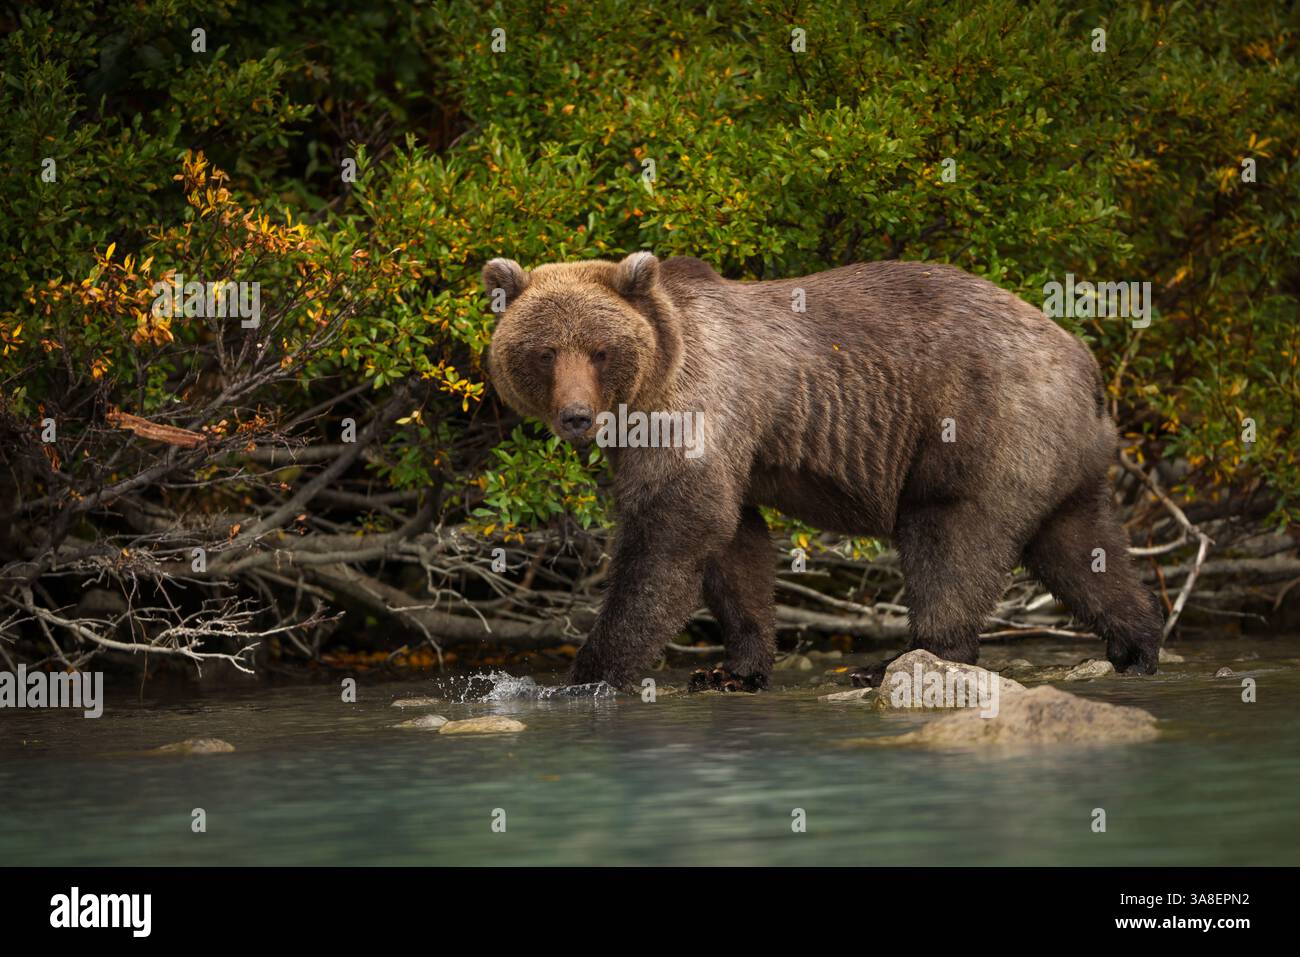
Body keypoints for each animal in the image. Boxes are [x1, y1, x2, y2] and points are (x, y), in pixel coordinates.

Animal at [483, 252, 1164, 692]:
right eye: (544, 352)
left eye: (600, 349)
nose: (575, 416)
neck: (649, 386)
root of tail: (1083, 359)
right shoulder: (724, 444)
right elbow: (735, 546)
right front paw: (733, 667)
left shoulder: (698, 403)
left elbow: (672, 530)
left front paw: (585, 673)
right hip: (1060, 454)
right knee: (1080, 546)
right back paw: (1137, 642)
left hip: (984, 424)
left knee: (950, 537)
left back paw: (900, 657)